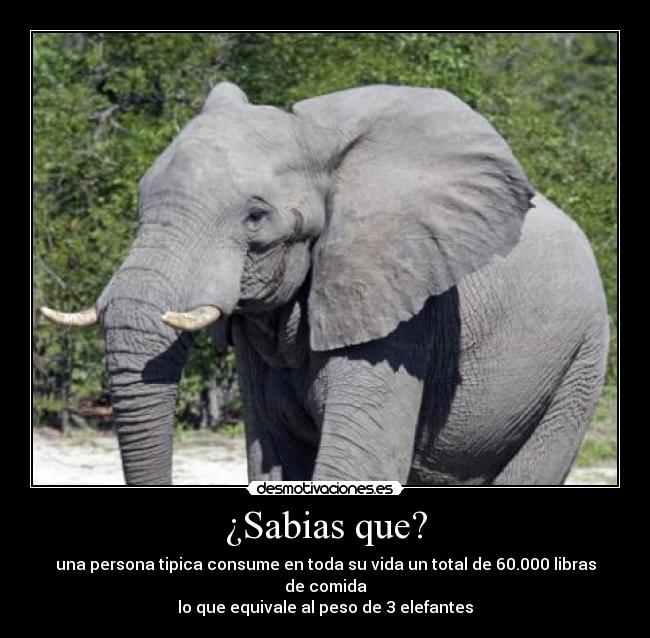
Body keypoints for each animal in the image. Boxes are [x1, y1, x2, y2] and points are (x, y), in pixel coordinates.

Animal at [41, 82, 609, 486]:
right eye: (141, 200)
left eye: (255, 218)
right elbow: (272, 460)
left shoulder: (400, 310)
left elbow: (360, 464)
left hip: (580, 365)